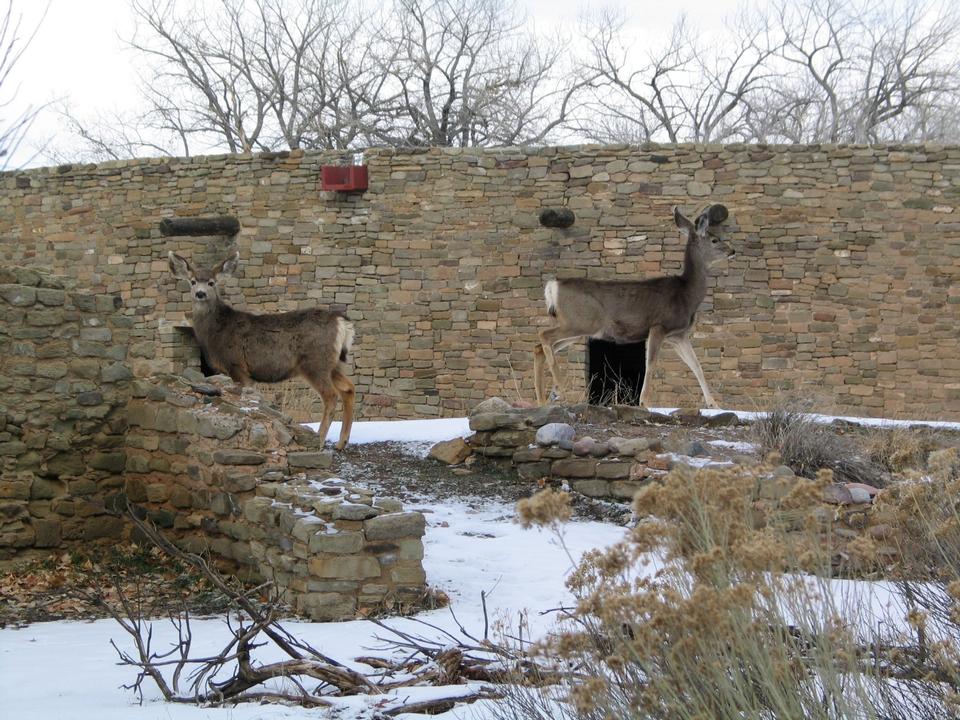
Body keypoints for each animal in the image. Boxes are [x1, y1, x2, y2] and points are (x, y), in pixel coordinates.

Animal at [169, 250, 356, 448]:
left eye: (211, 282)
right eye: (192, 281)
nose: (200, 293)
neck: (216, 332)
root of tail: (342, 322)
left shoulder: (237, 366)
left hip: (315, 362)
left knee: (331, 396)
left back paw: (318, 439)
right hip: (333, 364)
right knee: (348, 388)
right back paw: (342, 443)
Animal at [532, 205, 736, 410]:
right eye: (714, 240)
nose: (732, 250)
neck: (687, 295)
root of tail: (553, 286)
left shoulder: (678, 335)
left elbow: (697, 366)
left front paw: (714, 405)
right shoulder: (659, 326)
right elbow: (651, 363)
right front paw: (644, 401)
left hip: (579, 327)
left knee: (539, 347)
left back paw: (543, 399)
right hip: (581, 322)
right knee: (543, 335)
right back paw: (558, 387)